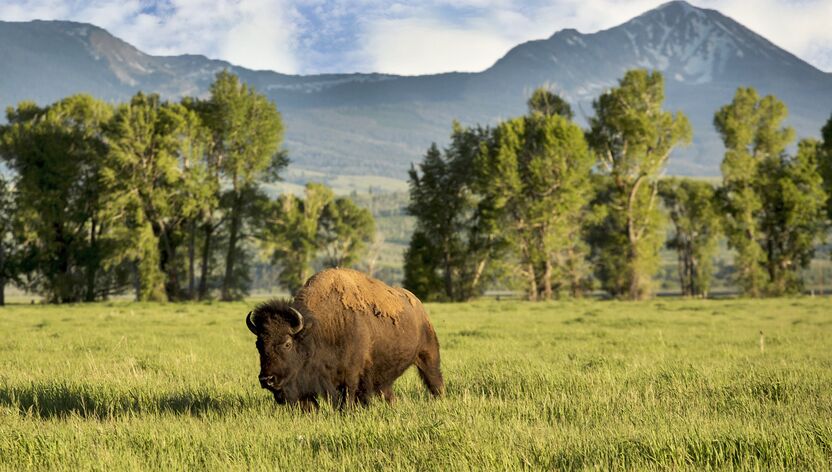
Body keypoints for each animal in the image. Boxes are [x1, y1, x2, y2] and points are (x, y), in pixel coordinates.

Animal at [245, 268, 444, 409]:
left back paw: (439, 399)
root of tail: (419, 307)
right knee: (387, 391)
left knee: (434, 380)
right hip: (383, 377)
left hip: (428, 356)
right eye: (258, 344)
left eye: (287, 344)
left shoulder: (350, 376)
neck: (317, 330)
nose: (267, 379)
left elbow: (347, 399)